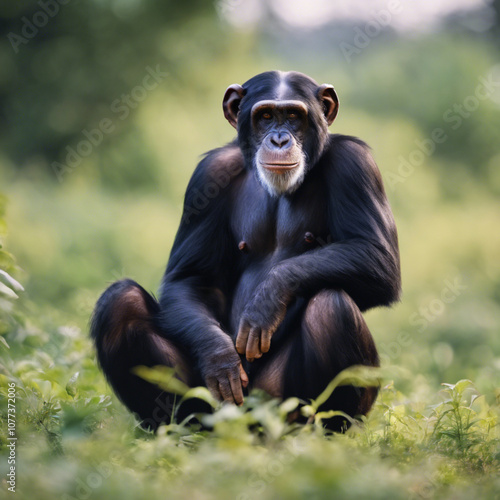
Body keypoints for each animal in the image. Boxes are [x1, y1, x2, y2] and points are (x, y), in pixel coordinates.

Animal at [91, 69, 402, 430]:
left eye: (294, 116)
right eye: (265, 116)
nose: (279, 140)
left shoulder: (356, 164)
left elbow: (377, 257)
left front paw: (267, 299)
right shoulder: (207, 175)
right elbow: (189, 278)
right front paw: (218, 355)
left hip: (277, 401)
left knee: (330, 306)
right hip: (216, 407)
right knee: (120, 303)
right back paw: (177, 431)